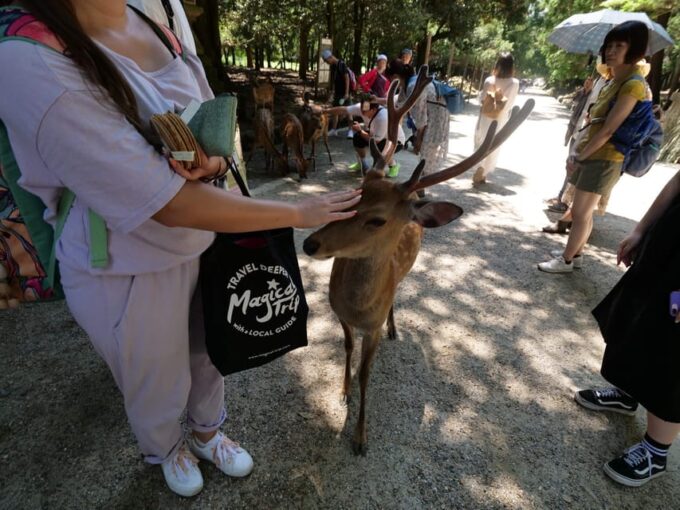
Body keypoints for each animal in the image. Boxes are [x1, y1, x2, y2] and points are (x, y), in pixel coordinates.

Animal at [302, 65, 535, 455]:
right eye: (353, 194)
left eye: (377, 220)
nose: (309, 243)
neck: (358, 309)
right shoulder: (340, 315)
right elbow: (346, 349)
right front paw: (343, 392)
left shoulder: (371, 326)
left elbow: (367, 372)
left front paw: (361, 437)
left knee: (398, 296)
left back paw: (395, 328)